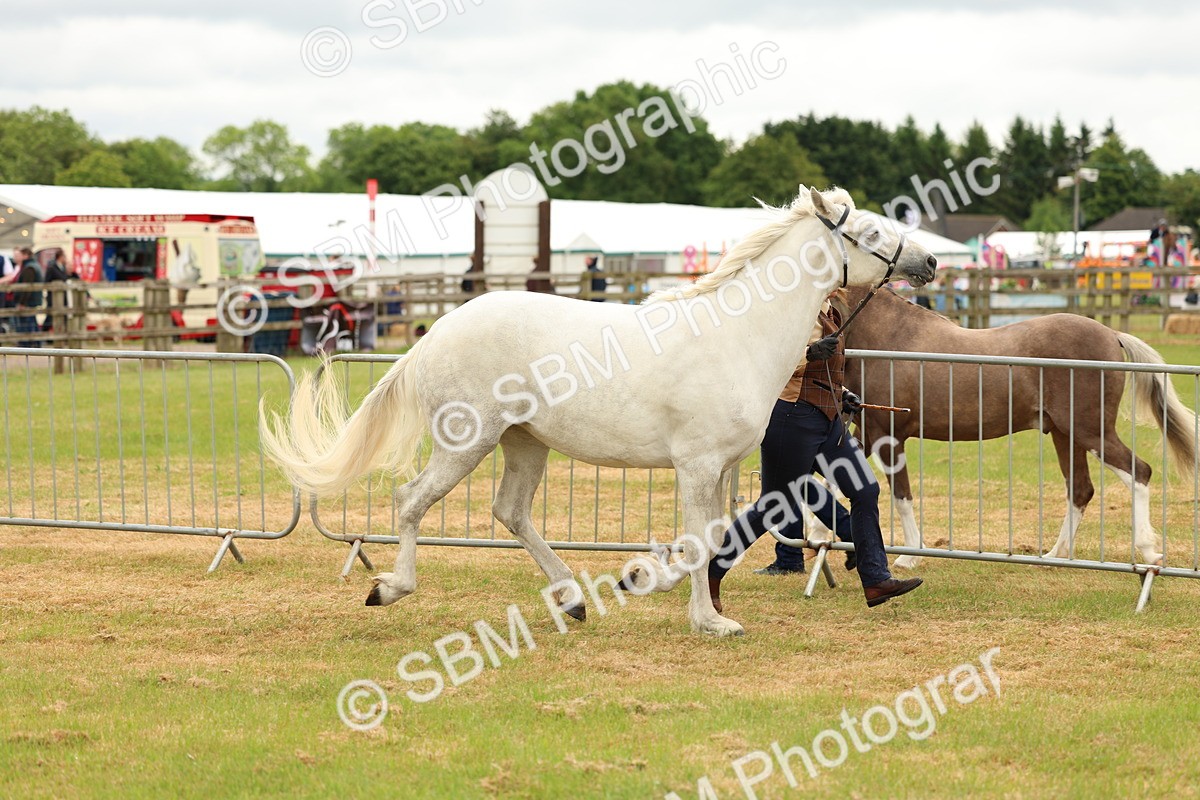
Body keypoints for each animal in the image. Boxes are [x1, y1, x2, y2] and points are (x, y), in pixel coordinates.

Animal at [259, 187, 938, 636]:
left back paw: (571, 599)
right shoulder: (696, 466)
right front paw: (708, 621)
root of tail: (436, 333)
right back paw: (391, 589)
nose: (929, 262)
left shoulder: (720, 468)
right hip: (466, 443)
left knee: (510, 511)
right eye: (871, 234)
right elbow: (699, 544)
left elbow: (714, 538)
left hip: (525, 442)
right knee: (411, 501)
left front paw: (655, 582)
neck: (736, 334)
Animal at [827, 286, 1198, 569]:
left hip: (1090, 431)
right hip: (1066, 435)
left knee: (1138, 472)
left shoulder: (888, 436)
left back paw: (1148, 551)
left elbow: (901, 496)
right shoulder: (864, 433)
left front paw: (909, 557)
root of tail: (1112, 335)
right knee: (1081, 490)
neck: (888, 337)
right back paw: (1055, 555)